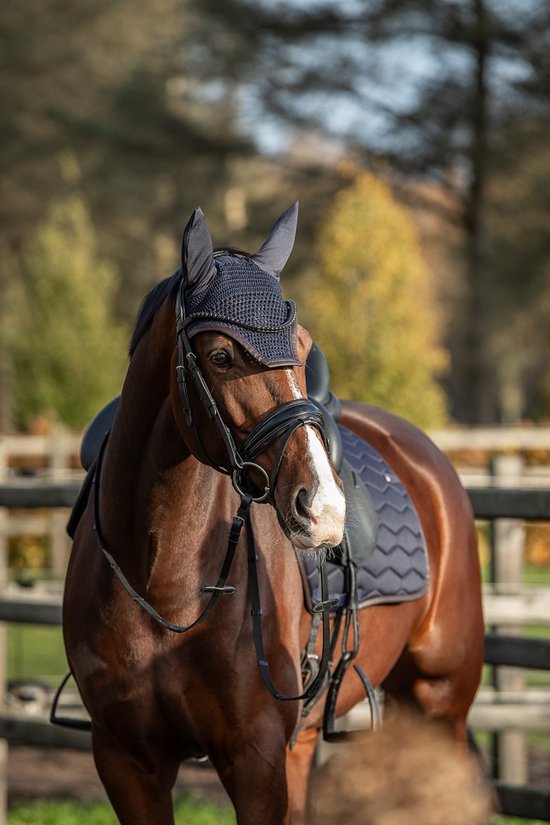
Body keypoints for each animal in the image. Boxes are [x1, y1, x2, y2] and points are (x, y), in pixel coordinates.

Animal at [62, 203, 484, 825]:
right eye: (220, 355)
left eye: (303, 346)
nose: (324, 508)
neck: (164, 584)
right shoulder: (127, 763)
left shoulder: (256, 762)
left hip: (439, 704)